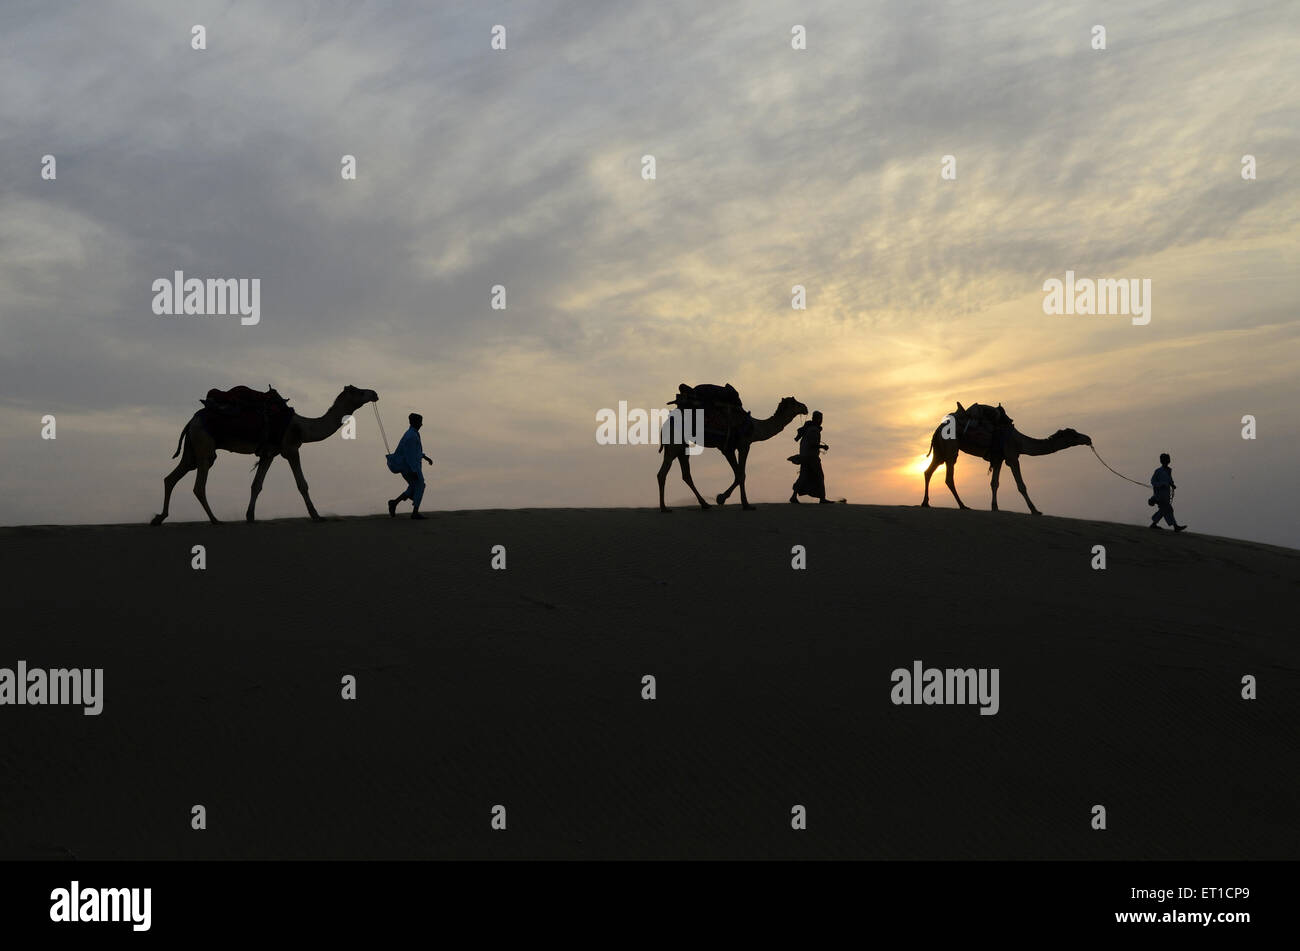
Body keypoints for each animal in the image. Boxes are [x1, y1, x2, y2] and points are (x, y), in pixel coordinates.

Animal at [151, 381, 379, 524]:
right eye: (359, 391)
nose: (374, 393)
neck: (302, 427)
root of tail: (192, 420)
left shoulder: (269, 453)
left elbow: (257, 485)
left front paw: (250, 516)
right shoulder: (290, 448)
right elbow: (302, 484)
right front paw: (317, 516)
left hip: (192, 449)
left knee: (171, 478)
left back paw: (159, 518)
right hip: (204, 445)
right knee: (199, 485)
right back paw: (215, 520)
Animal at [655, 394, 806, 511]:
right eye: (794, 402)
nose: (805, 407)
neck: (755, 427)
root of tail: (665, 425)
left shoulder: (728, 449)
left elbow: (737, 474)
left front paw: (722, 498)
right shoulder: (743, 445)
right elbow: (741, 474)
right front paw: (744, 504)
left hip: (681, 446)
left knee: (685, 474)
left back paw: (704, 504)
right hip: (675, 444)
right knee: (663, 473)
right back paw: (664, 508)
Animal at [920, 402, 1092, 517]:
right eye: (1074, 434)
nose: (1088, 438)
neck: (1020, 441)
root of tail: (938, 429)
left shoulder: (998, 459)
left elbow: (994, 483)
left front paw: (995, 507)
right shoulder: (1012, 457)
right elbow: (1021, 486)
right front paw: (1035, 510)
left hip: (939, 450)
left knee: (928, 471)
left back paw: (926, 503)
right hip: (951, 448)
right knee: (948, 477)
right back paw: (963, 506)